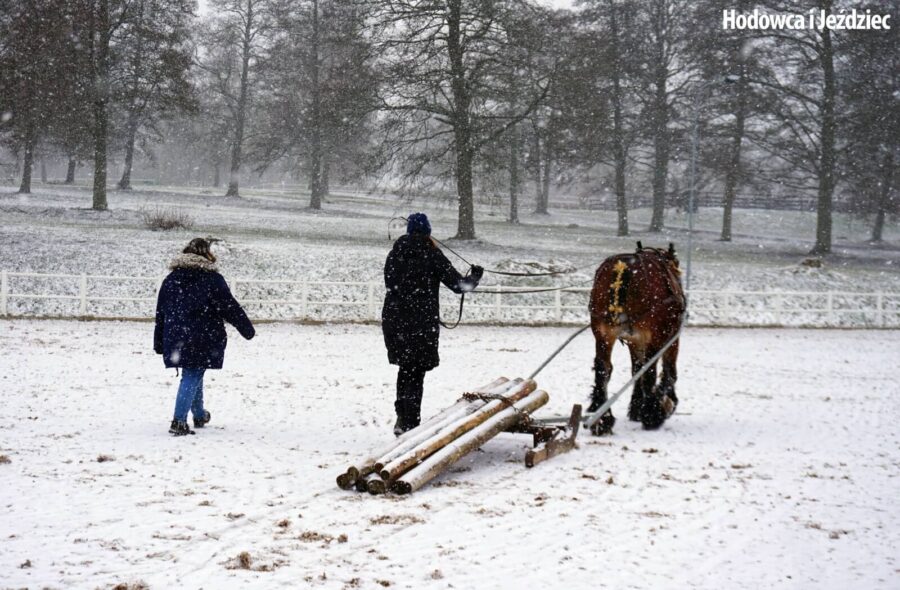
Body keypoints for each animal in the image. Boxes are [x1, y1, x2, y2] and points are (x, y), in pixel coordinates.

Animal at [588, 243, 684, 438]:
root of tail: (624, 266)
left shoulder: (634, 341)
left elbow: (636, 370)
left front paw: (636, 408)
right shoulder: (671, 338)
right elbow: (668, 372)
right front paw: (664, 404)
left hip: (603, 335)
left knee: (603, 370)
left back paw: (602, 420)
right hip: (654, 338)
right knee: (650, 372)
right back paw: (652, 415)